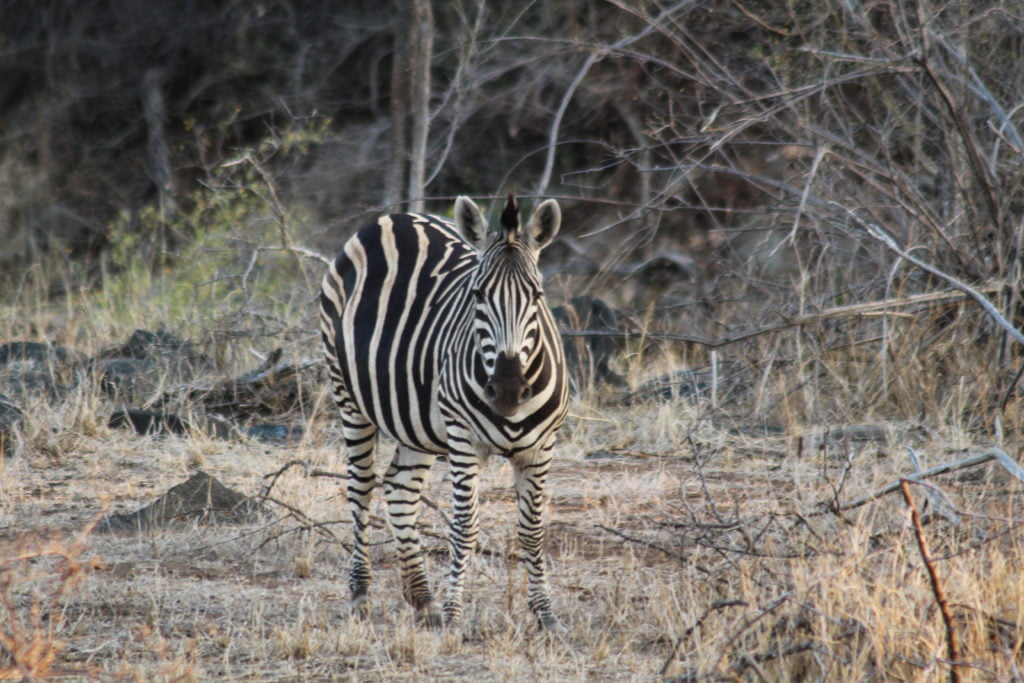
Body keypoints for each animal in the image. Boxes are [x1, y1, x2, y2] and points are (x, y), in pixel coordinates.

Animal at [319, 193, 569, 629]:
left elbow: (533, 530)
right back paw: (361, 594)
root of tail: (395, 217)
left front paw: (545, 614)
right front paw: (454, 613)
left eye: (537, 296)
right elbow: (464, 527)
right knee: (361, 487)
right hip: (347, 395)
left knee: (400, 488)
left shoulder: (541, 448)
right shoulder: (464, 439)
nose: (507, 389)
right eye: (477, 296)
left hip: (413, 422)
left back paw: (422, 599)